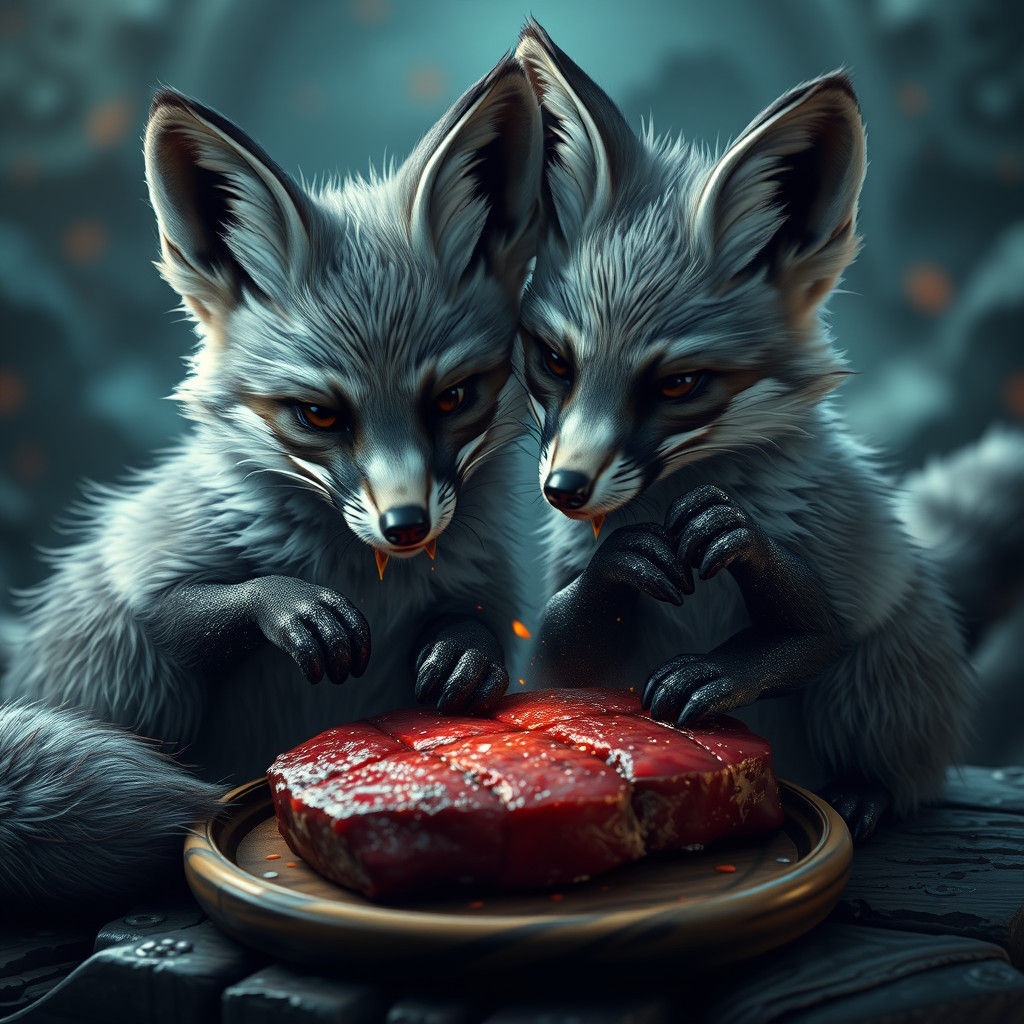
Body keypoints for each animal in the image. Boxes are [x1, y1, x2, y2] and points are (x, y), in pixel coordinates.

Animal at [0, 56, 543, 905]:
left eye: (454, 398)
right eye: (318, 414)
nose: (408, 527)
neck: (373, 584)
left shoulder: (487, 583)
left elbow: (477, 624)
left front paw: (465, 655)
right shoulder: (147, 570)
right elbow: (192, 608)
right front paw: (288, 605)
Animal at [514, 21, 973, 840]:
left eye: (678, 384)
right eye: (555, 361)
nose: (565, 490)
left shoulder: (837, 558)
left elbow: (817, 635)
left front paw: (737, 603)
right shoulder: (570, 644)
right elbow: (569, 655)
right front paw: (619, 564)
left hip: (878, 672)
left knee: (900, 761)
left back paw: (864, 793)